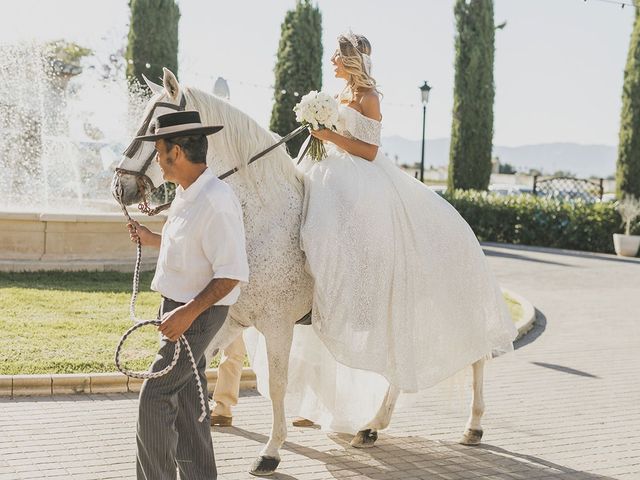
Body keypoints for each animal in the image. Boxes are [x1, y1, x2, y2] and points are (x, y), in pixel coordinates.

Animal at [112, 68, 488, 476]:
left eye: (152, 127)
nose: (119, 185)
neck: (259, 218)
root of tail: (461, 220)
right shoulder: (229, 320)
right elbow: (198, 367)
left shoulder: (277, 325)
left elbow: (278, 384)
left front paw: (271, 451)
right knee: (401, 367)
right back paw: (371, 427)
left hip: (453, 309)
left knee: (476, 356)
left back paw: (473, 425)